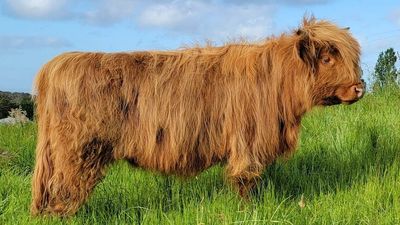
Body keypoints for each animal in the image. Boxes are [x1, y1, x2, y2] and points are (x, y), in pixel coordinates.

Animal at [31, 18, 364, 216]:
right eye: (326, 58)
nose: (359, 87)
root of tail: (56, 65)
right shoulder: (247, 141)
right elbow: (245, 179)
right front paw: (248, 211)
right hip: (78, 151)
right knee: (64, 186)